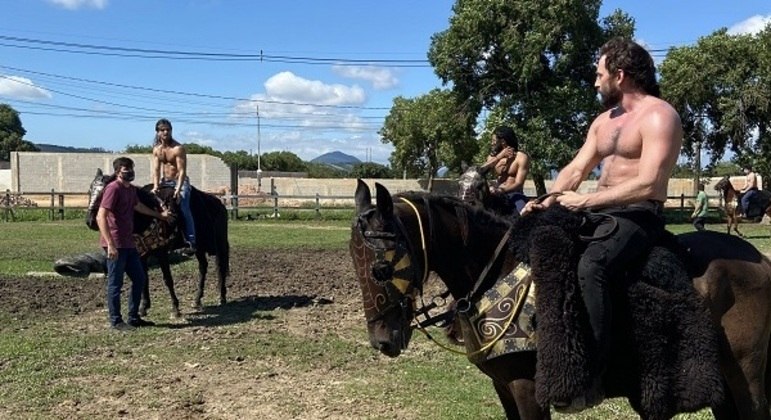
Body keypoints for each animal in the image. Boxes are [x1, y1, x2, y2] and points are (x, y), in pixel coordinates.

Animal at [86, 167, 229, 318]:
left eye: (104, 193)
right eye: (89, 191)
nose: (90, 221)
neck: (147, 216)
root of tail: (220, 203)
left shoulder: (162, 253)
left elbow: (168, 279)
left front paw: (175, 308)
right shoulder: (142, 255)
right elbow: (144, 278)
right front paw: (144, 307)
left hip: (220, 243)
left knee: (220, 266)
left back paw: (222, 297)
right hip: (199, 248)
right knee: (203, 267)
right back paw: (197, 300)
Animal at [352, 180, 771, 420]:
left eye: (381, 270)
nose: (382, 341)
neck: (495, 272)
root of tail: (762, 262)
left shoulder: (527, 389)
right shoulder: (503, 388)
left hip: (747, 376)